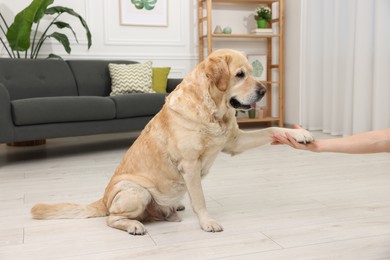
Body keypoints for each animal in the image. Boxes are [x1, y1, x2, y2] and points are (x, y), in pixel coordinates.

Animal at [31, 48, 314, 236]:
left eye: (252, 73)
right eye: (239, 74)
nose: (264, 91)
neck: (213, 111)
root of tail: (103, 198)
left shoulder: (234, 142)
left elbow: (272, 128)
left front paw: (299, 135)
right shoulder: (190, 165)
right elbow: (200, 199)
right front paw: (207, 222)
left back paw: (171, 208)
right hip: (137, 192)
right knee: (111, 218)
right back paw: (134, 225)